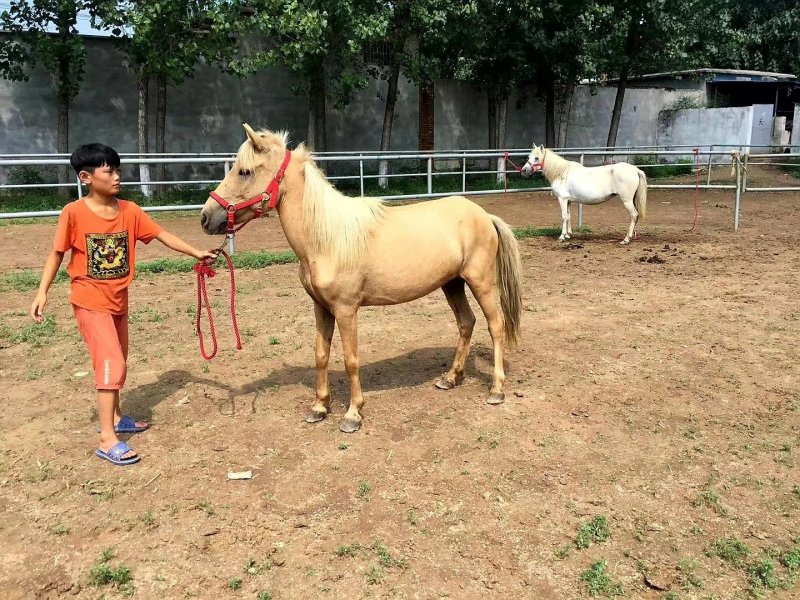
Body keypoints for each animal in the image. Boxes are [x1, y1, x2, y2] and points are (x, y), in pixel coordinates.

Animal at [200, 125, 523, 433]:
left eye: (245, 171)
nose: (206, 217)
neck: (327, 239)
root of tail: (485, 216)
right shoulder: (321, 308)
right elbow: (321, 354)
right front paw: (319, 407)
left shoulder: (346, 311)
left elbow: (350, 359)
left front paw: (353, 415)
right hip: (452, 284)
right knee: (466, 323)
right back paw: (451, 378)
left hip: (480, 282)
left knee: (496, 326)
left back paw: (496, 389)